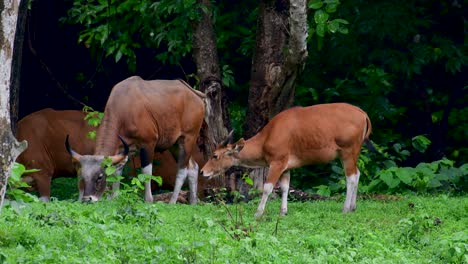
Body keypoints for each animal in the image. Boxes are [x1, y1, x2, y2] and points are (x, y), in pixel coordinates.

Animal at [200, 103, 372, 219]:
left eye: (215, 155)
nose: (202, 171)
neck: (267, 137)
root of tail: (363, 113)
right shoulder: (286, 166)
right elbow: (284, 187)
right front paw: (283, 212)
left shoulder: (277, 162)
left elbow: (267, 188)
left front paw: (258, 213)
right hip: (352, 153)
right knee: (357, 174)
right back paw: (353, 207)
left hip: (348, 151)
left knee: (350, 177)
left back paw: (345, 208)